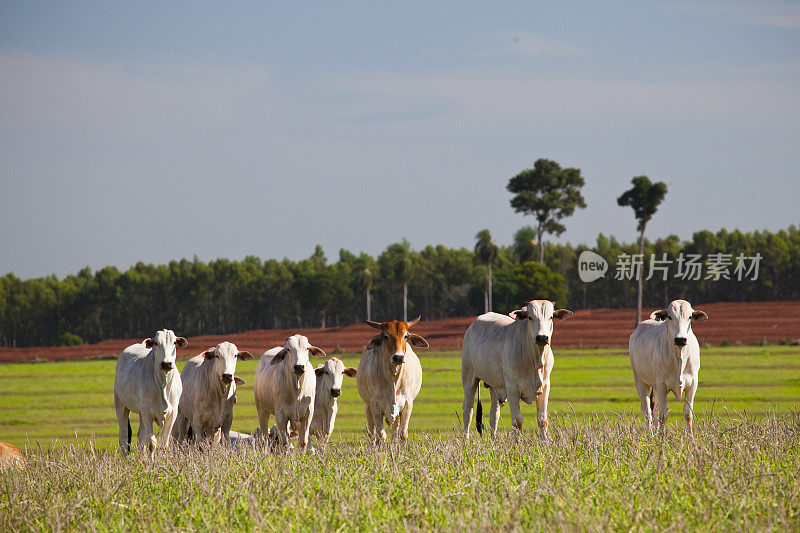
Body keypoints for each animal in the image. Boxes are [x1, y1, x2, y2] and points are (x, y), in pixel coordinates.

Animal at [628, 298, 708, 434]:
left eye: (690, 317)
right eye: (669, 317)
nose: (680, 339)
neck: (679, 357)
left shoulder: (693, 384)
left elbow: (687, 413)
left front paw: (690, 436)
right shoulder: (662, 384)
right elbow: (663, 414)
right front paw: (662, 436)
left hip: (655, 387)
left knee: (654, 409)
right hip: (640, 381)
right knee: (647, 411)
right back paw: (651, 433)